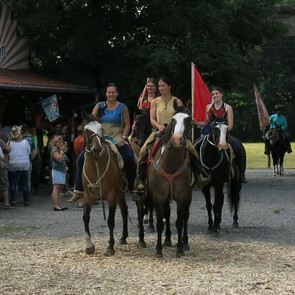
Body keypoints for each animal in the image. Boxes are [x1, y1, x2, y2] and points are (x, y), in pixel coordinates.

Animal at [82, 115, 128, 256]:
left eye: (101, 128)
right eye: (86, 130)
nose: (97, 149)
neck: (96, 163)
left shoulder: (111, 196)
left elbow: (110, 221)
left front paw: (110, 246)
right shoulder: (88, 196)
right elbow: (85, 217)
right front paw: (89, 245)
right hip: (120, 194)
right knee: (124, 211)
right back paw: (123, 237)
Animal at [148, 107, 194, 258]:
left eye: (188, 120)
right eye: (173, 120)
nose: (177, 139)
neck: (170, 164)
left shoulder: (182, 197)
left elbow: (179, 222)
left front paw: (179, 249)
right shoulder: (158, 197)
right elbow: (160, 223)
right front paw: (158, 249)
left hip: (189, 196)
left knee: (185, 217)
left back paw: (185, 242)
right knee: (167, 215)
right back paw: (167, 240)